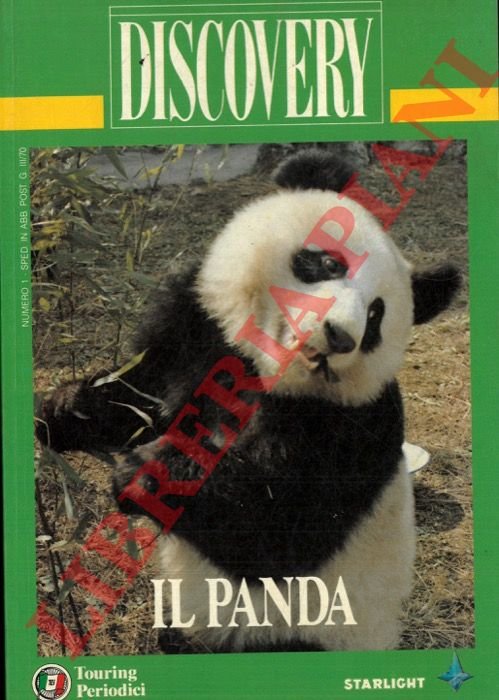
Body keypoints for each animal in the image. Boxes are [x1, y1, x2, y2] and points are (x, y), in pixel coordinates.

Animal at [37, 150, 460, 654]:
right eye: (327, 263)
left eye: (376, 315)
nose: (340, 336)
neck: (267, 365)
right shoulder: (199, 327)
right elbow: (141, 393)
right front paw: (64, 408)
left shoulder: (350, 425)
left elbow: (276, 536)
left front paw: (147, 474)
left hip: (310, 634)